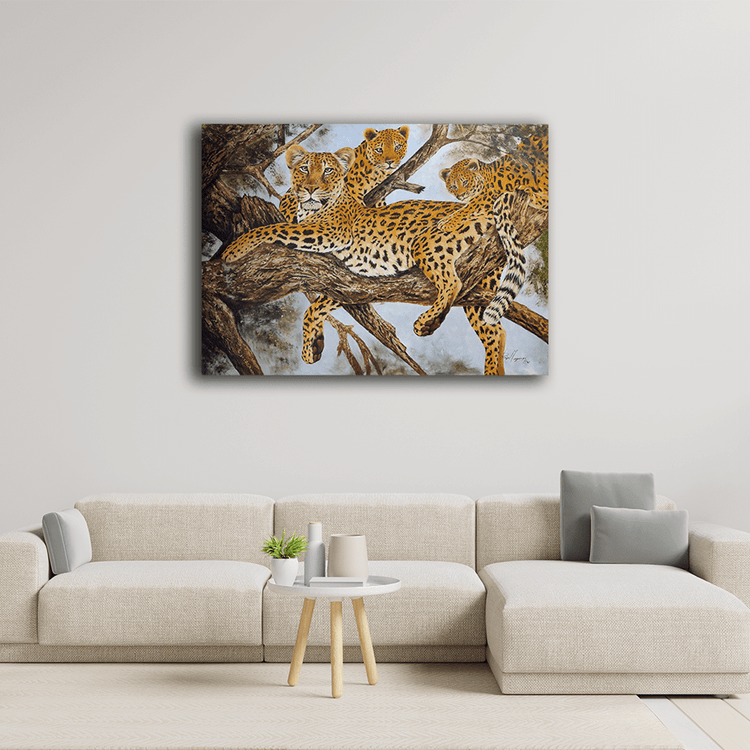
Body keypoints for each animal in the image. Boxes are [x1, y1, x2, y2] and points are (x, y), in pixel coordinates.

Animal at [410, 134, 548, 338]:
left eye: (465, 182)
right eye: (453, 186)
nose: (461, 195)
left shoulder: (488, 197)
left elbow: (469, 207)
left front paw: (446, 222)